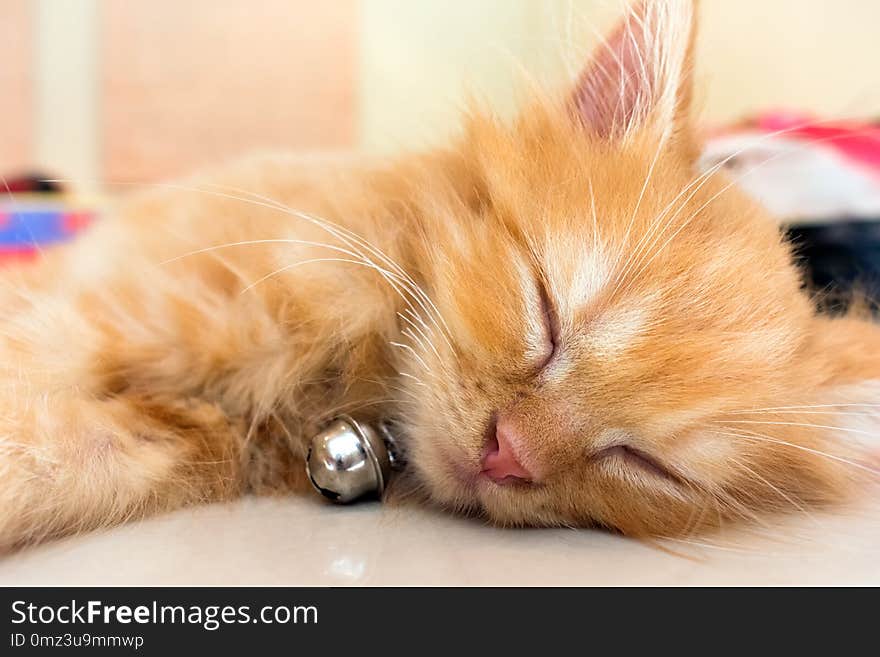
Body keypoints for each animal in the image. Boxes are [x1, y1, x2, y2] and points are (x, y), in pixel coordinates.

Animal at [1, 0, 880, 548]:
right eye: (546, 314)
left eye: (643, 461)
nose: (508, 452)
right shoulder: (115, 309)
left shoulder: (153, 440)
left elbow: (39, 457)